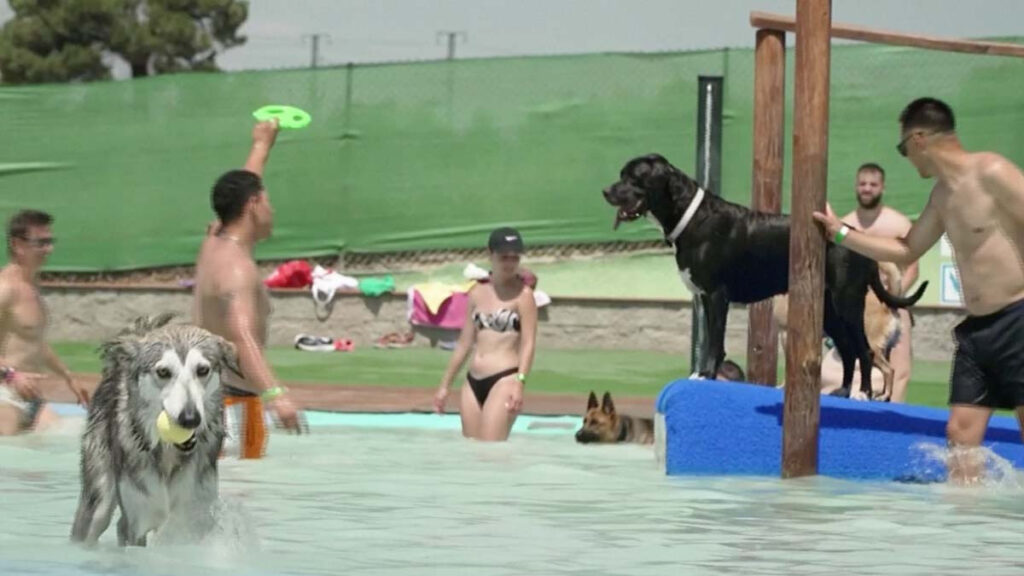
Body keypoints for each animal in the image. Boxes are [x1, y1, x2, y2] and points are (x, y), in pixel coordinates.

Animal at [774, 260, 905, 399]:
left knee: (889, 370)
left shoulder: (786, 334)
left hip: (872, 347)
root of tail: (887, 306)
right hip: (884, 349)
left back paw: (882, 396)